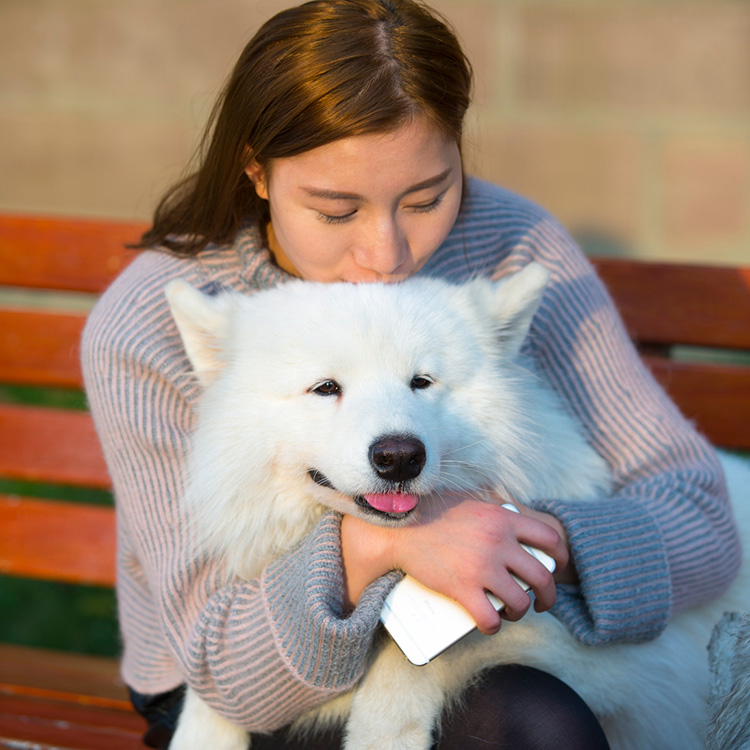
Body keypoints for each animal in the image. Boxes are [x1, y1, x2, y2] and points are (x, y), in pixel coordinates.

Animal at [166, 266, 750, 750]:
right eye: (326, 388)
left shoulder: (600, 655)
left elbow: (412, 662)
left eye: (421, 382)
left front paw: (384, 732)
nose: (399, 456)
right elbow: (215, 686)